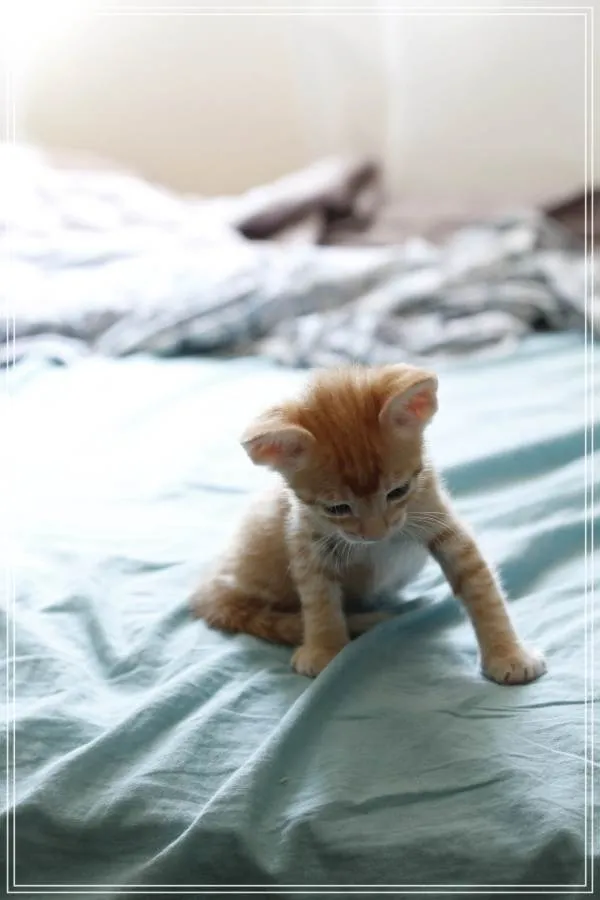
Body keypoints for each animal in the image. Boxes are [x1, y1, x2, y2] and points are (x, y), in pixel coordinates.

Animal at [191, 363, 546, 684]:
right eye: (337, 508)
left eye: (399, 491)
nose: (376, 534)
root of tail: (211, 587)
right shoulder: (305, 537)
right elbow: (318, 596)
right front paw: (325, 649)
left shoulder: (441, 519)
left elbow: (480, 585)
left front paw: (508, 653)